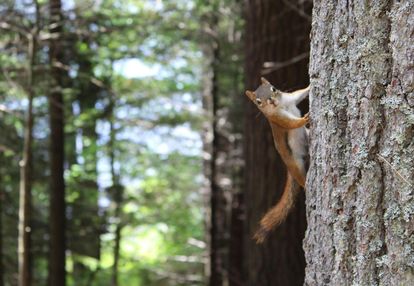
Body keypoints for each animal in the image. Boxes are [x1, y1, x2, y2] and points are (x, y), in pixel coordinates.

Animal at [244, 77, 308, 242]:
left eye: (273, 88)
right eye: (258, 102)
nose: (271, 101)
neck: (281, 104)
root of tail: (289, 169)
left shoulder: (291, 98)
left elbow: (301, 93)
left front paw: (311, 86)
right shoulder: (277, 119)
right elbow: (291, 123)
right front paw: (304, 119)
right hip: (296, 165)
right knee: (301, 179)